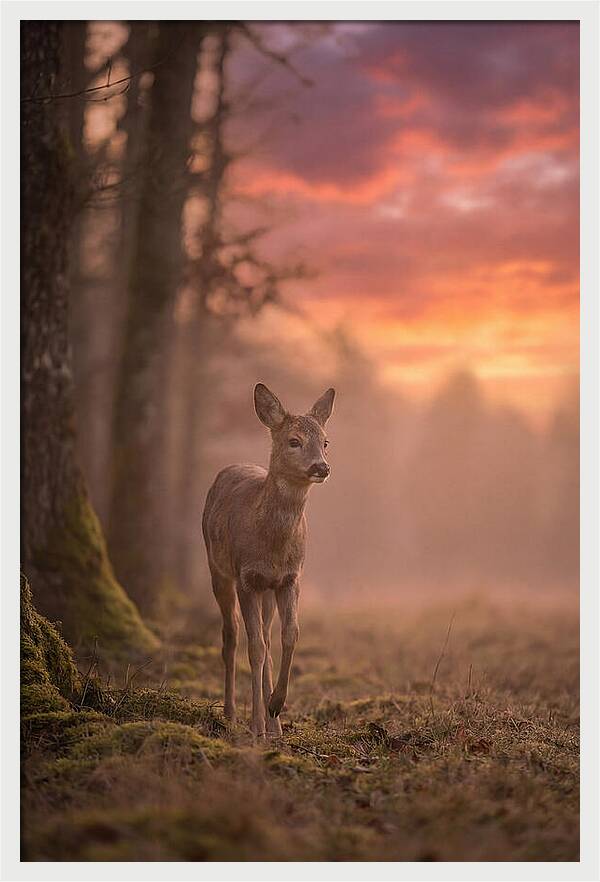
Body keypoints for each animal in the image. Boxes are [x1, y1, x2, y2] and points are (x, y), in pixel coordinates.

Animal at [202, 383, 335, 740]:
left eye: (325, 441)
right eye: (294, 441)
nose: (321, 467)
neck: (272, 546)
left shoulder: (290, 578)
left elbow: (290, 635)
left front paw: (276, 705)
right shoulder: (247, 577)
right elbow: (255, 648)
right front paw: (255, 726)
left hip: (267, 591)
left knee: (265, 633)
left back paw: (273, 723)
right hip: (218, 569)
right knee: (231, 636)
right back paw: (232, 713)